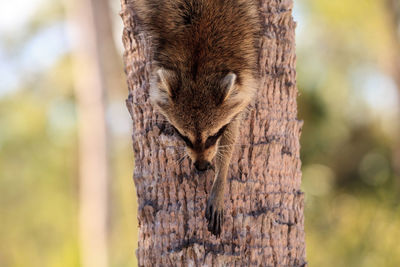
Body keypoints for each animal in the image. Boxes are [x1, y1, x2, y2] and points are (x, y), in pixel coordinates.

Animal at [133, 0, 260, 236]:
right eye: (183, 136)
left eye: (213, 136)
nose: (201, 166)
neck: (198, 67)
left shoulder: (242, 81)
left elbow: (231, 135)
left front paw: (221, 177)